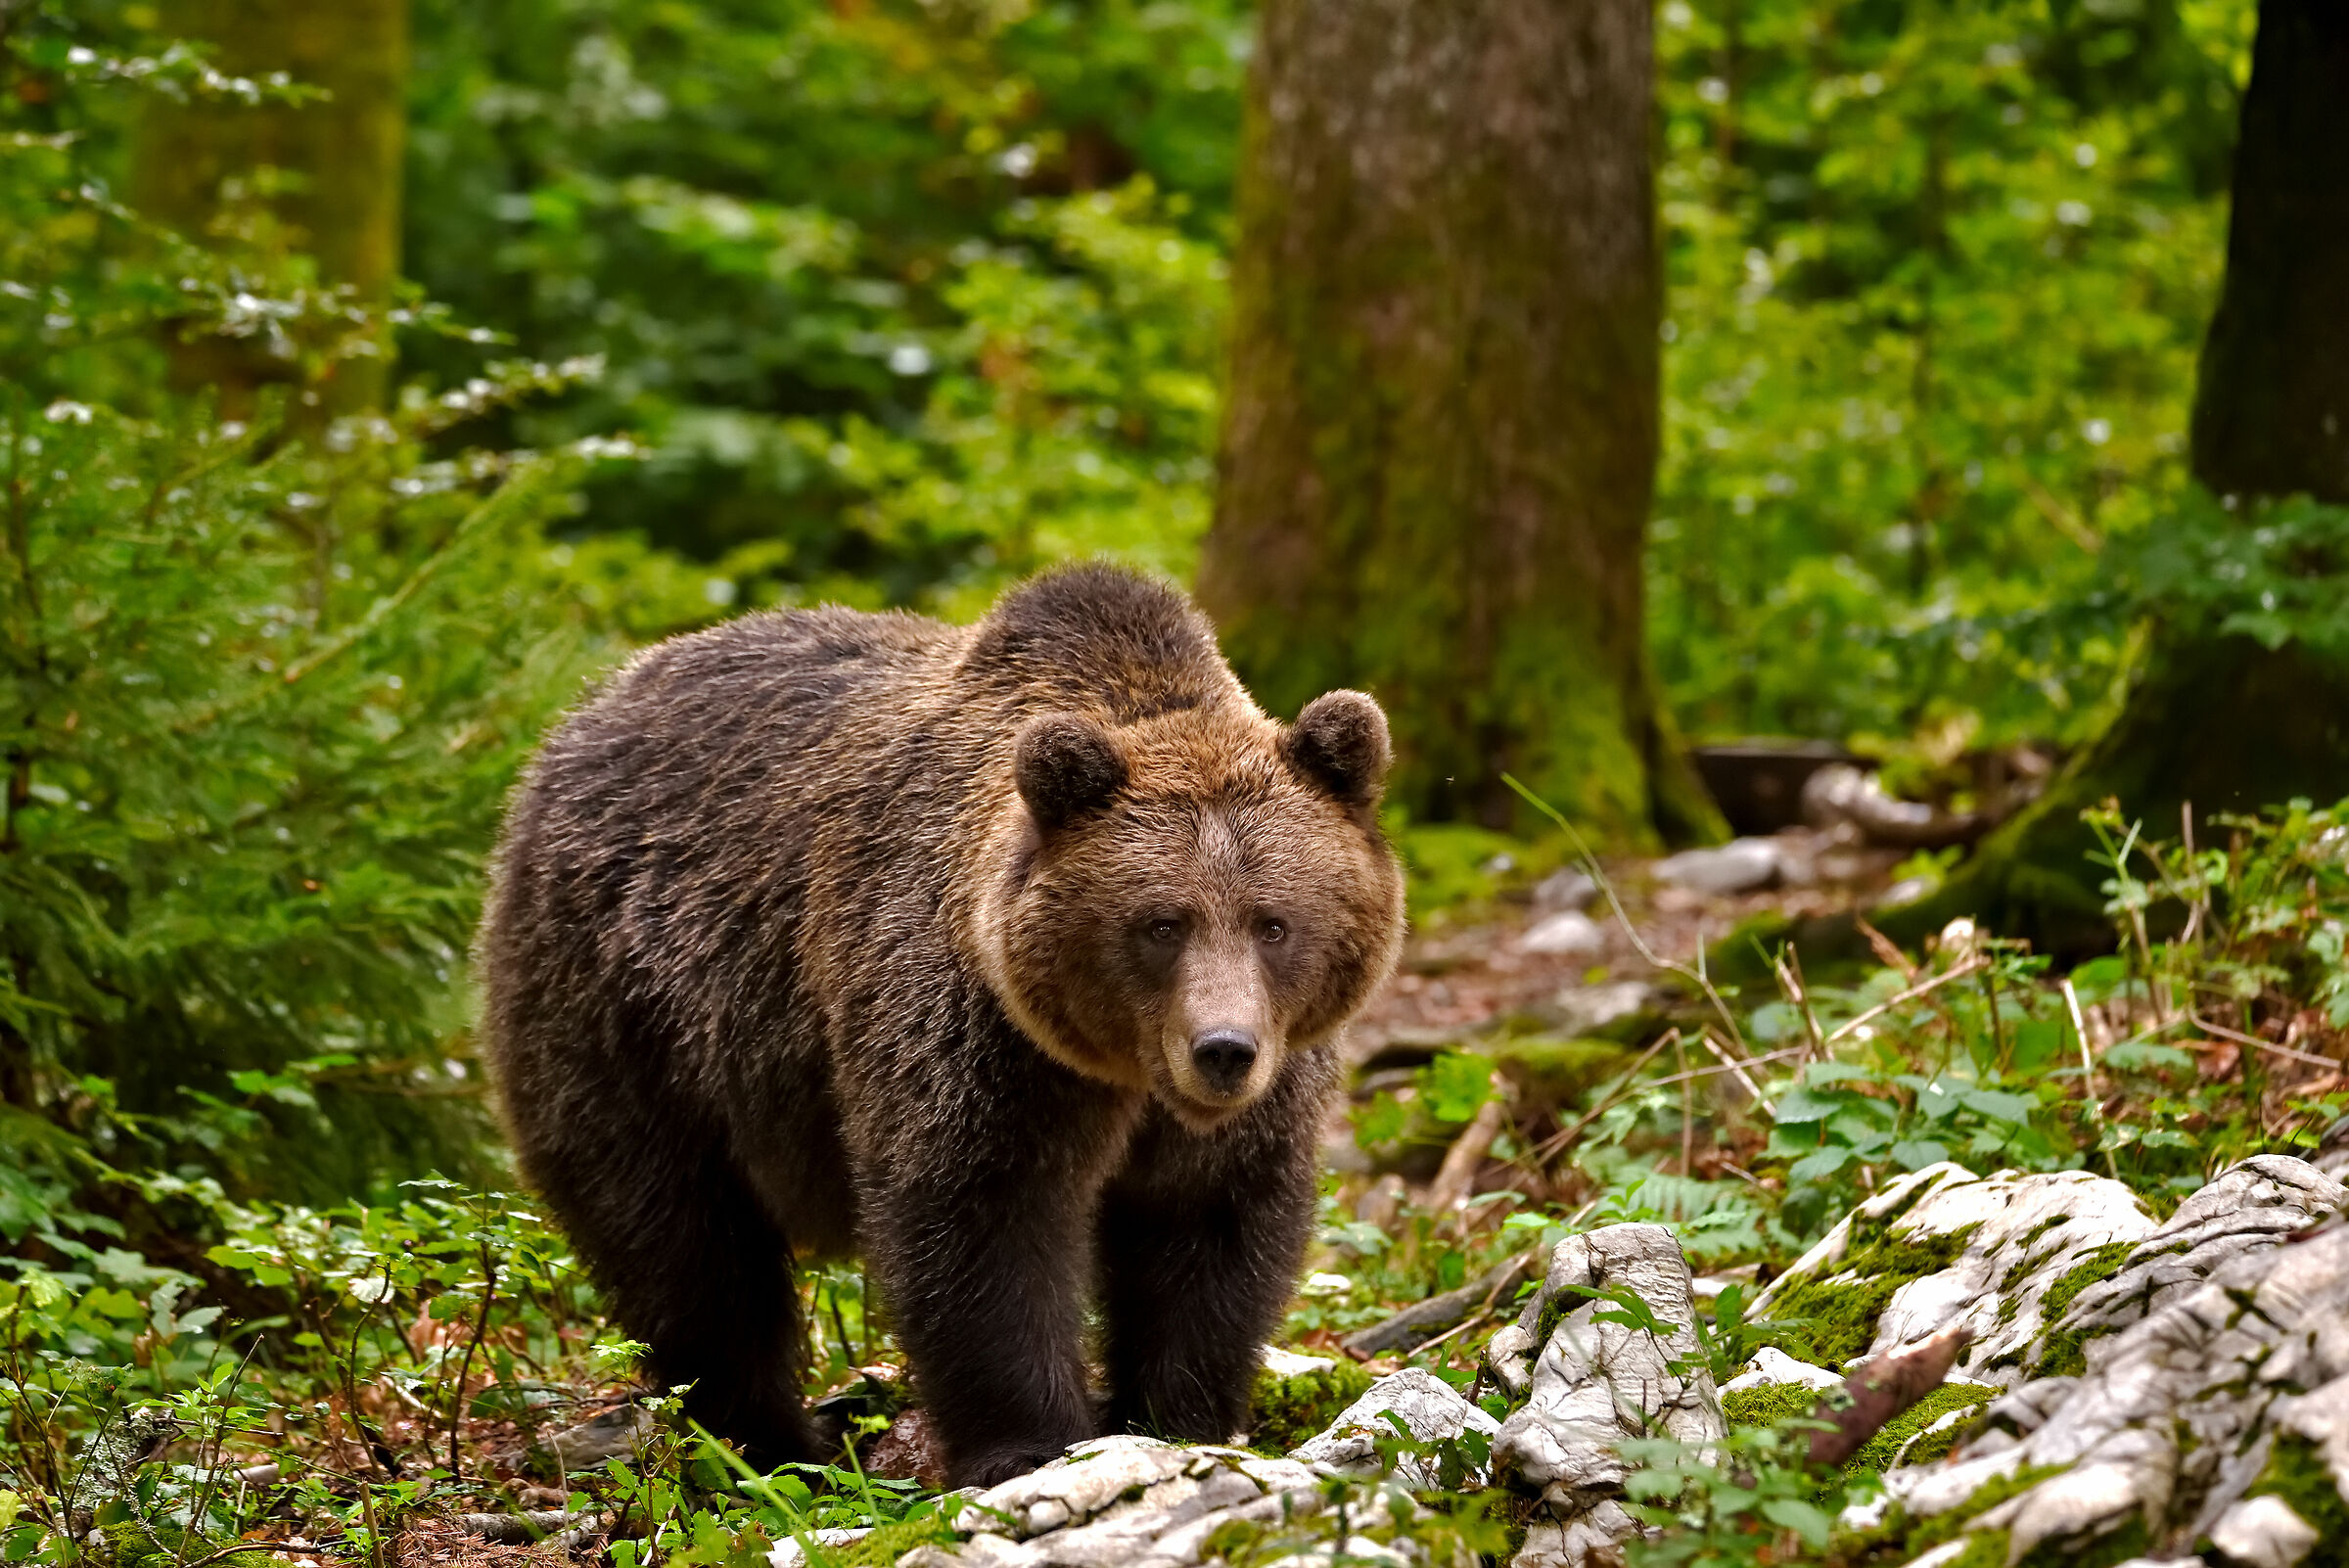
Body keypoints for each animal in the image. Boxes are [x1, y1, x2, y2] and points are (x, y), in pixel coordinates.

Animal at [476, 564, 1405, 1487]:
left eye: (1272, 922)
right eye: (1161, 923)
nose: (1222, 1051)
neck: (1123, 1070)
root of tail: (588, 710)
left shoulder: (1254, 1094)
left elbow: (1206, 1228)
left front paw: (1180, 1420)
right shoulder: (975, 1032)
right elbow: (980, 1218)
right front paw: (1026, 1445)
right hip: (627, 1008)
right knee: (686, 1247)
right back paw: (770, 1447)